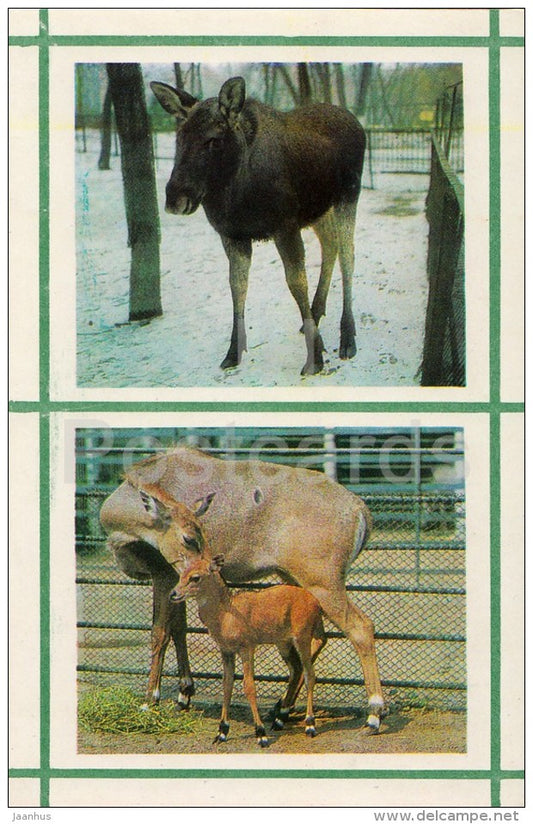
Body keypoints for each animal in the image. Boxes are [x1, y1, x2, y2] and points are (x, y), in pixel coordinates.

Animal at [150, 75, 366, 376]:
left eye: (214, 141)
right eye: (179, 137)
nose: (175, 197)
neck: (236, 195)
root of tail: (356, 121)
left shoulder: (285, 226)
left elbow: (296, 283)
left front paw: (315, 358)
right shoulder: (232, 235)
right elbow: (237, 286)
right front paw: (233, 352)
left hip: (348, 195)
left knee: (348, 255)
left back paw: (347, 337)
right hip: (319, 210)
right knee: (330, 246)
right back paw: (315, 314)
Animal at [172, 551, 327, 747]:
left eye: (195, 577)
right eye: (181, 575)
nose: (174, 594)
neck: (226, 614)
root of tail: (315, 601)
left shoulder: (247, 648)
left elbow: (249, 686)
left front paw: (261, 734)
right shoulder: (226, 651)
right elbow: (227, 685)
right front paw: (221, 732)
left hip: (302, 638)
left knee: (309, 674)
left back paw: (310, 725)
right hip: (283, 643)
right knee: (296, 670)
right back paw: (279, 720)